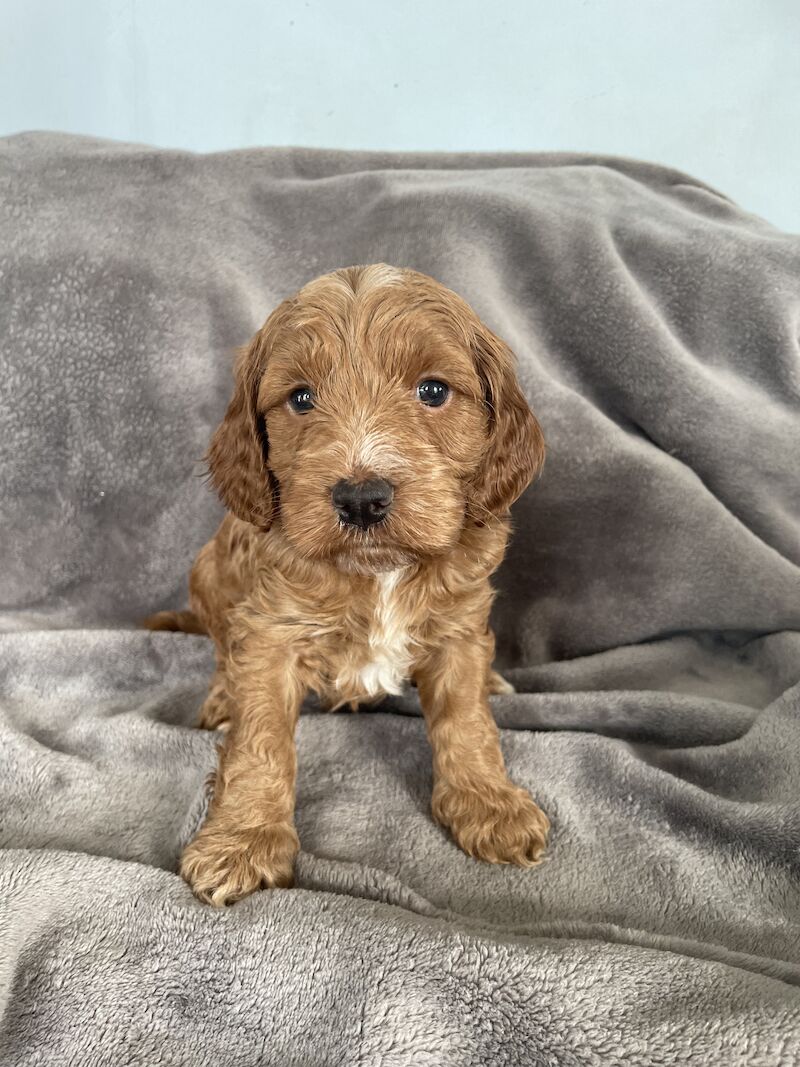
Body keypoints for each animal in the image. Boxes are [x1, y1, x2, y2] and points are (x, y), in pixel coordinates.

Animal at [149, 264, 550, 900]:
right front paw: (243, 839)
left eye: (433, 391)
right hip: (207, 570)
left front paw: (488, 803)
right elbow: (260, 739)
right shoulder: (270, 632)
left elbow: (466, 720)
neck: (378, 572)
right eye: (301, 398)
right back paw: (218, 696)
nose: (361, 499)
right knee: (219, 649)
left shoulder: (459, 626)